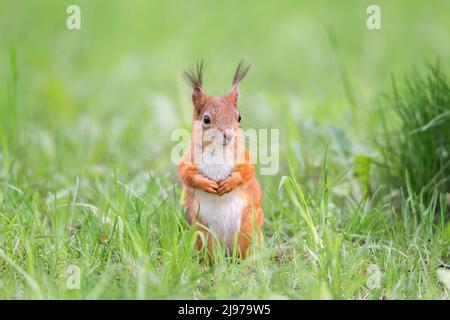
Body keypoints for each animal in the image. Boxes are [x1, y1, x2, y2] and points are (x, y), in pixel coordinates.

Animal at [179, 60, 264, 260]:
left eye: (239, 117)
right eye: (206, 119)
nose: (229, 134)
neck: (218, 150)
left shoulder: (243, 156)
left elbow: (247, 171)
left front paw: (229, 184)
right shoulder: (188, 159)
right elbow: (185, 174)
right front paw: (207, 184)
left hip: (249, 228)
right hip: (203, 234)